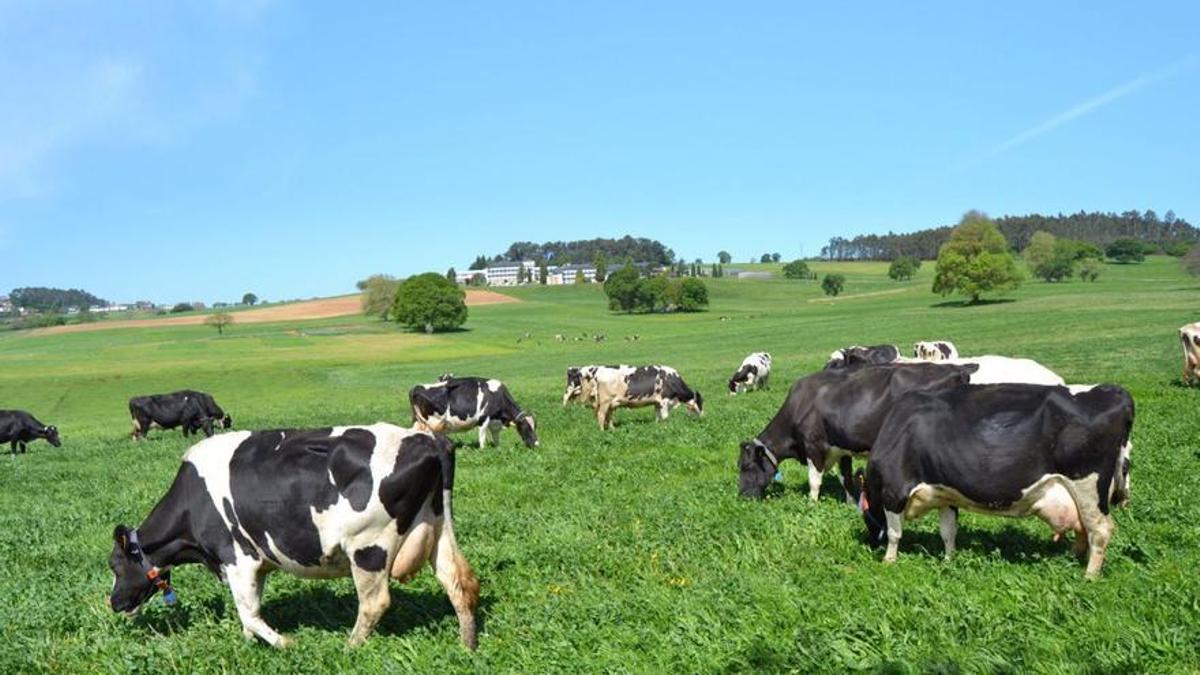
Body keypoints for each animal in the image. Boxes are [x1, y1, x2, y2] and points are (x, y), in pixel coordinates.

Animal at [107, 424, 479, 648]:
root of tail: (429, 439)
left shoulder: (237, 559)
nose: (114, 603)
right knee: (459, 584)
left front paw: (286, 643)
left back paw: (349, 648)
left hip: (368, 546)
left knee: (375, 603)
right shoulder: (257, 563)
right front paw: (249, 645)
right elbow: (250, 610)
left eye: (115, 565)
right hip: (438, 528)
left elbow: (249, 613)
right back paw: (468, 645)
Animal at [410, 376, 538, 449]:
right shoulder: (483, 419)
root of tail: (416, 388)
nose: (537, 445)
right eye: (526, 427)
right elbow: (482, 437)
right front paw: (483, 450)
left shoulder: (494, 422)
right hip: (428, 421)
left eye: (535, 427)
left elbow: (496, 437)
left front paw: (498, 448)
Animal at [738, 362, 979, 502]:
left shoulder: (814, 446)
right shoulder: (841, 449)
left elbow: (815, 481)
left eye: (746, 467)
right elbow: (846, 479)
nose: (742, 497)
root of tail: (957, 369)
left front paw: (811, 504)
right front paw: (851, 503)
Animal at [859, 383, 1133, 579]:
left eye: (865, 515)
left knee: (1100, 530)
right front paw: (949, 560)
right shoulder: (946, 494)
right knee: (1084, 528)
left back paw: (1089, 576)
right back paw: (1071, 558)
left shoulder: (894, 490)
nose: (872, 543)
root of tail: (1114, 391)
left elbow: (895, 532)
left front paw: (889, 560)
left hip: (1088, 486)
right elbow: (948, 532)